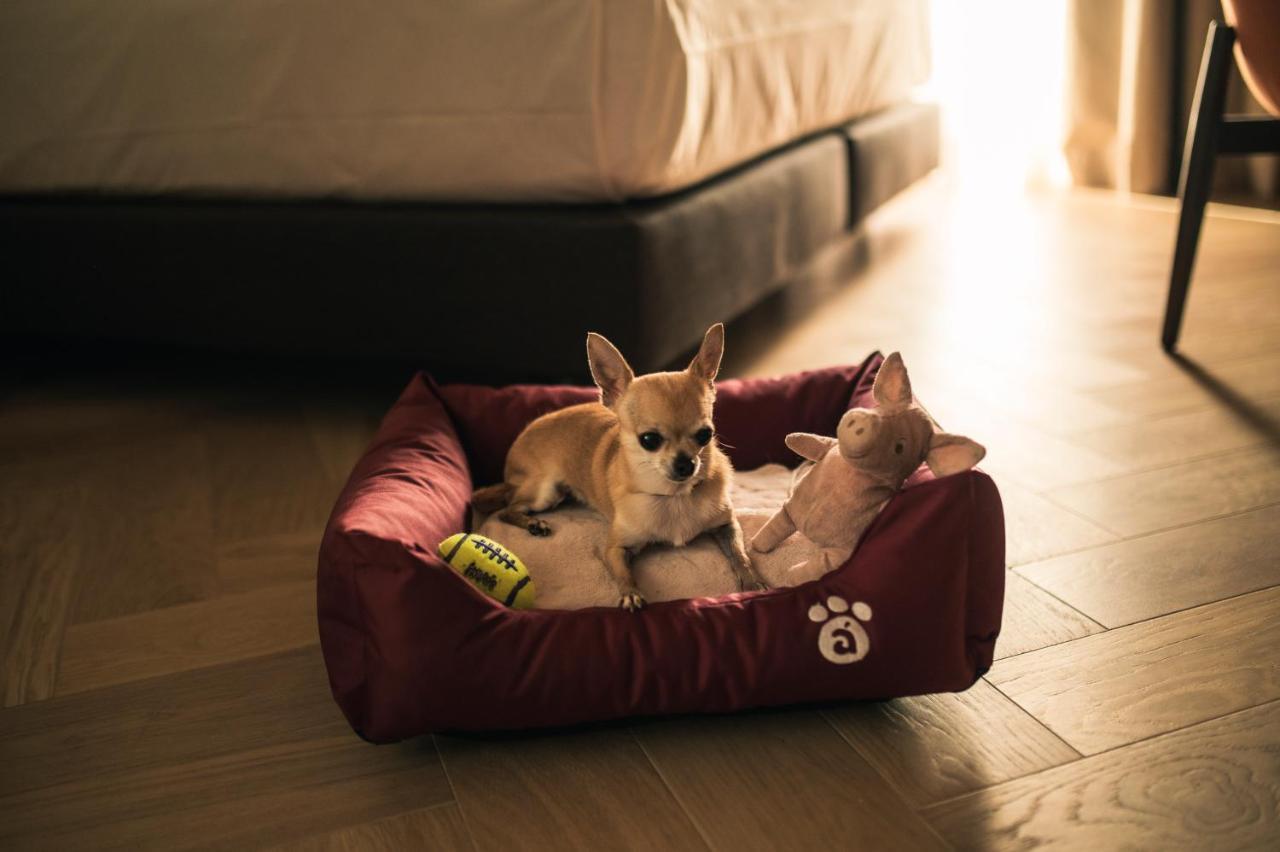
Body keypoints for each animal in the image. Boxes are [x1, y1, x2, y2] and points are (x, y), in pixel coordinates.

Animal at [473, 322, 762, 606]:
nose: (686, 464)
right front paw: (631, 593)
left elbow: (740, 554)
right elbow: (623, 572)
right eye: (649, 440)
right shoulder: (615, 548)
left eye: (705, 434)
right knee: (506, 509)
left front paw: (752, 582)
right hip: (546, 492)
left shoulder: (727, 525)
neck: (673, 497)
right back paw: (533, 523)